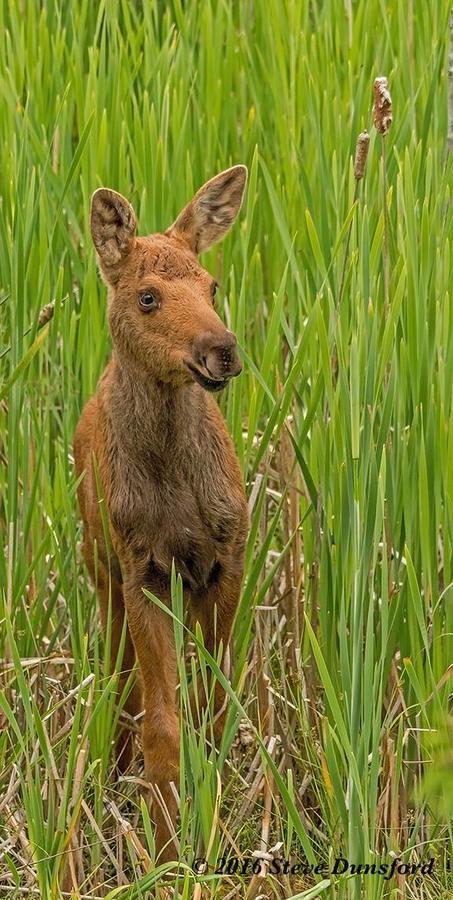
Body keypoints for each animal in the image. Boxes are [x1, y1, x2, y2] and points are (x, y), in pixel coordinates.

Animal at [75, 165, 251, 860]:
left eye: (212, 284)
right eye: (148, 296)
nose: (221, 348)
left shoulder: (228, 558)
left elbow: (214, 707)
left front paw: (216, 816)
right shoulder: (142, 572)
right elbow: (164, 725)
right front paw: (168, 846)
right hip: (102, 570)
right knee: (119, 679)